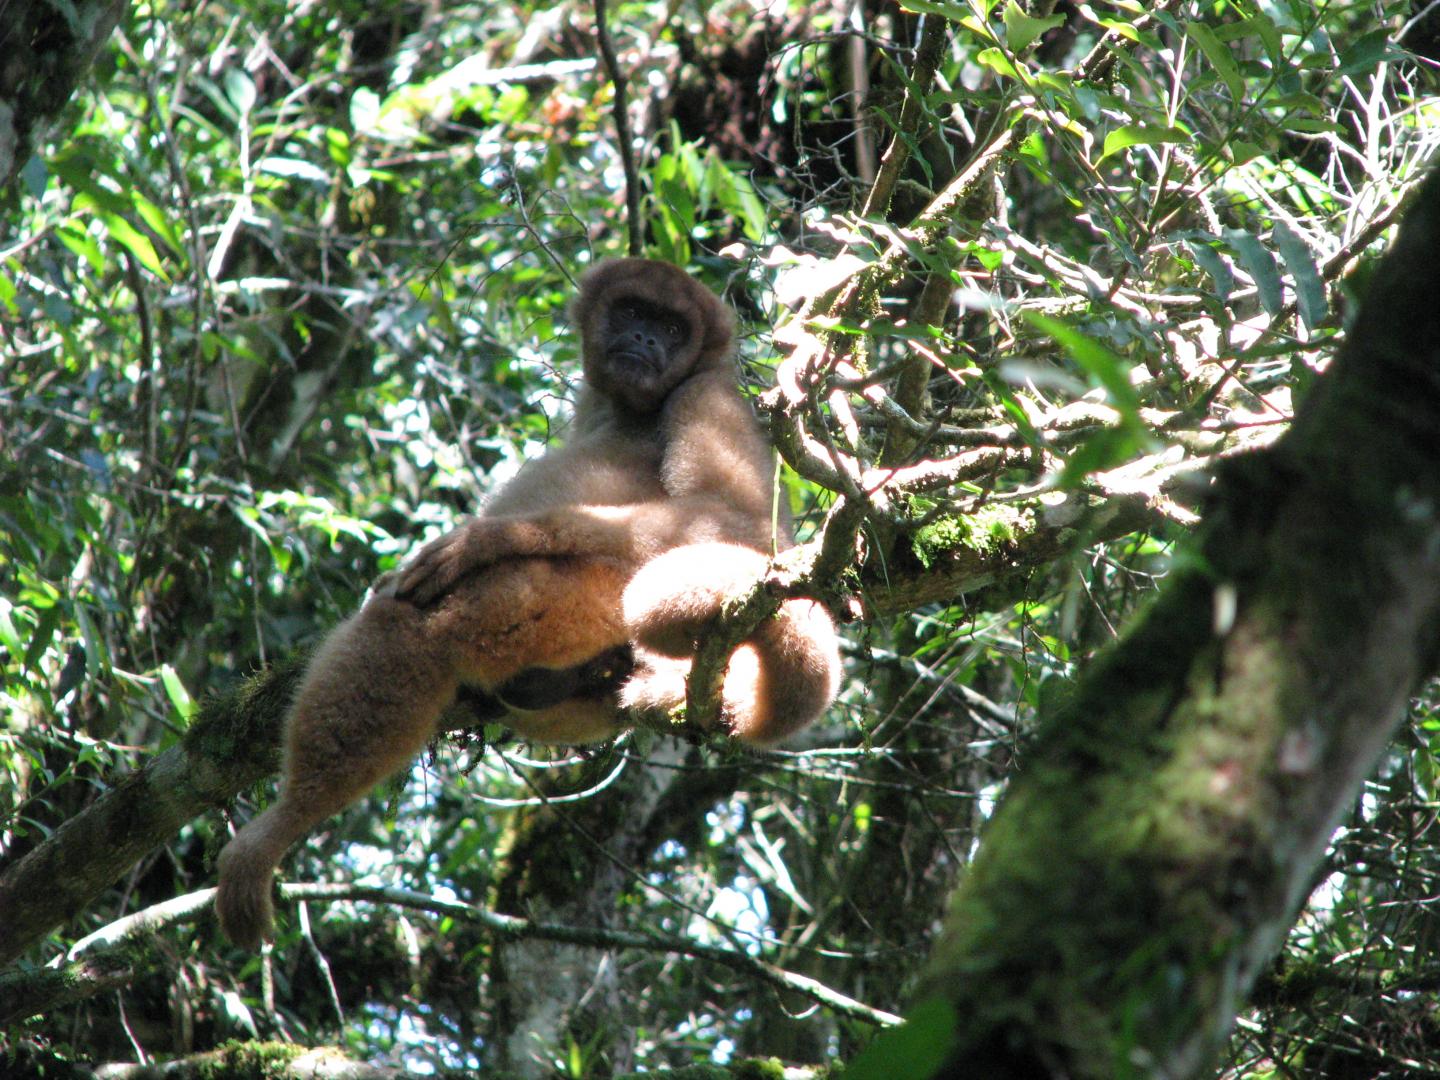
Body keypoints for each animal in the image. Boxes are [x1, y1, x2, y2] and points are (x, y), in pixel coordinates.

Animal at [214, 257, 840, 950]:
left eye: (674, 328)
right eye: (633, 312)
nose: (646, 340)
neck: (627, 407)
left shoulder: (709, 393)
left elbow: (740, 521)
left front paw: (495, 536)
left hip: (581, 600)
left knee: (416, 626)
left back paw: (278, 827)